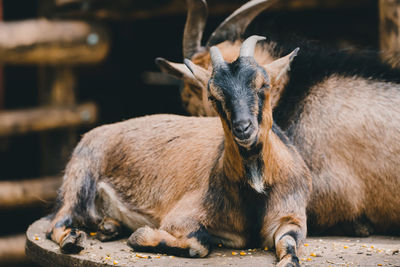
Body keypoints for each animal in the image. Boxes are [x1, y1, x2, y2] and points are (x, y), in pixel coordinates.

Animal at [46, 36, 310, 266]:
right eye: (213, 96)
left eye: (263, 85)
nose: (243, 128)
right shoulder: (181, 216)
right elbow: (199, 242)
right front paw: (140, 235)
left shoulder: (292, 216)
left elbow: (289, 242)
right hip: (80, 177)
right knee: (56, 222)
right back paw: (73, 239)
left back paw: (109, 228)